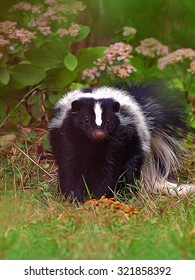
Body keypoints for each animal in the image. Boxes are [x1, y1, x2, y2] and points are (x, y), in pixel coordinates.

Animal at [48, 83, 195, 201]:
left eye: (108, 121)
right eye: (86, 119)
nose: (99, 134)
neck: (92, 143)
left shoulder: (117, 138)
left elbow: (108, 169)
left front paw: (100, 199)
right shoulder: (67, 136)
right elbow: (70, 167)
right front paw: (74, 199)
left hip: (135, 142)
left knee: (129, 168)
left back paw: (127, 194)